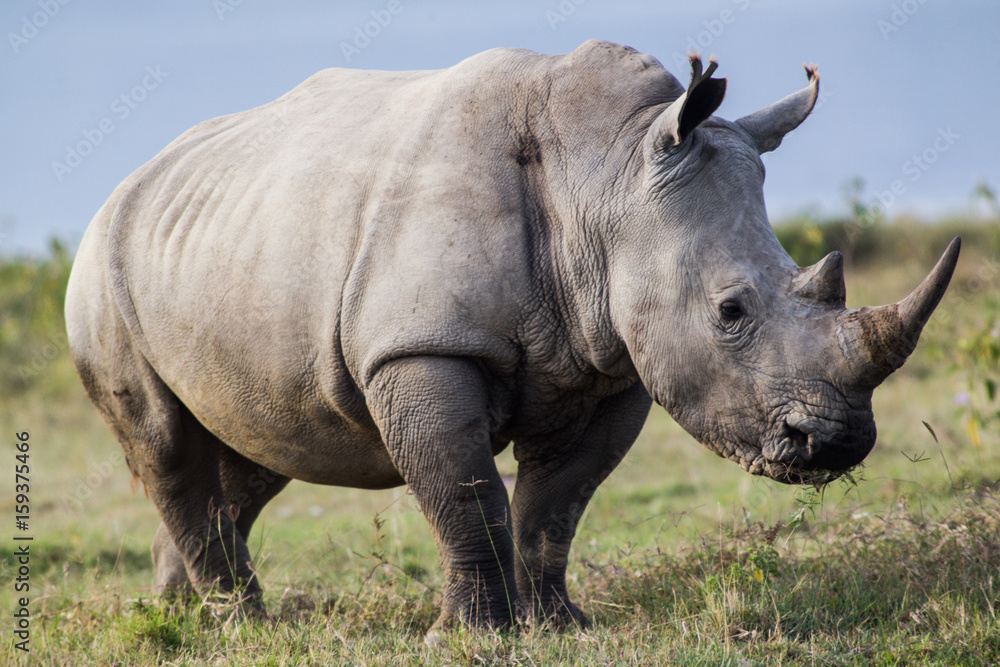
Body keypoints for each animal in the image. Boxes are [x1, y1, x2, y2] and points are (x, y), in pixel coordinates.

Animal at [65, 40, 959, 636]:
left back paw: (186, 607)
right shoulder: (425, 345)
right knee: (167, 441)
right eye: (730, 311)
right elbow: (466, 493)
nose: (835, 442)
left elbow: (556, 503)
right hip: (100, 267)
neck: (605, 174)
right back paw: (244, 622)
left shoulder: (615, 363)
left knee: (259, 448)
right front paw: (471, 637)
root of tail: (127, 183)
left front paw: (559, 625)